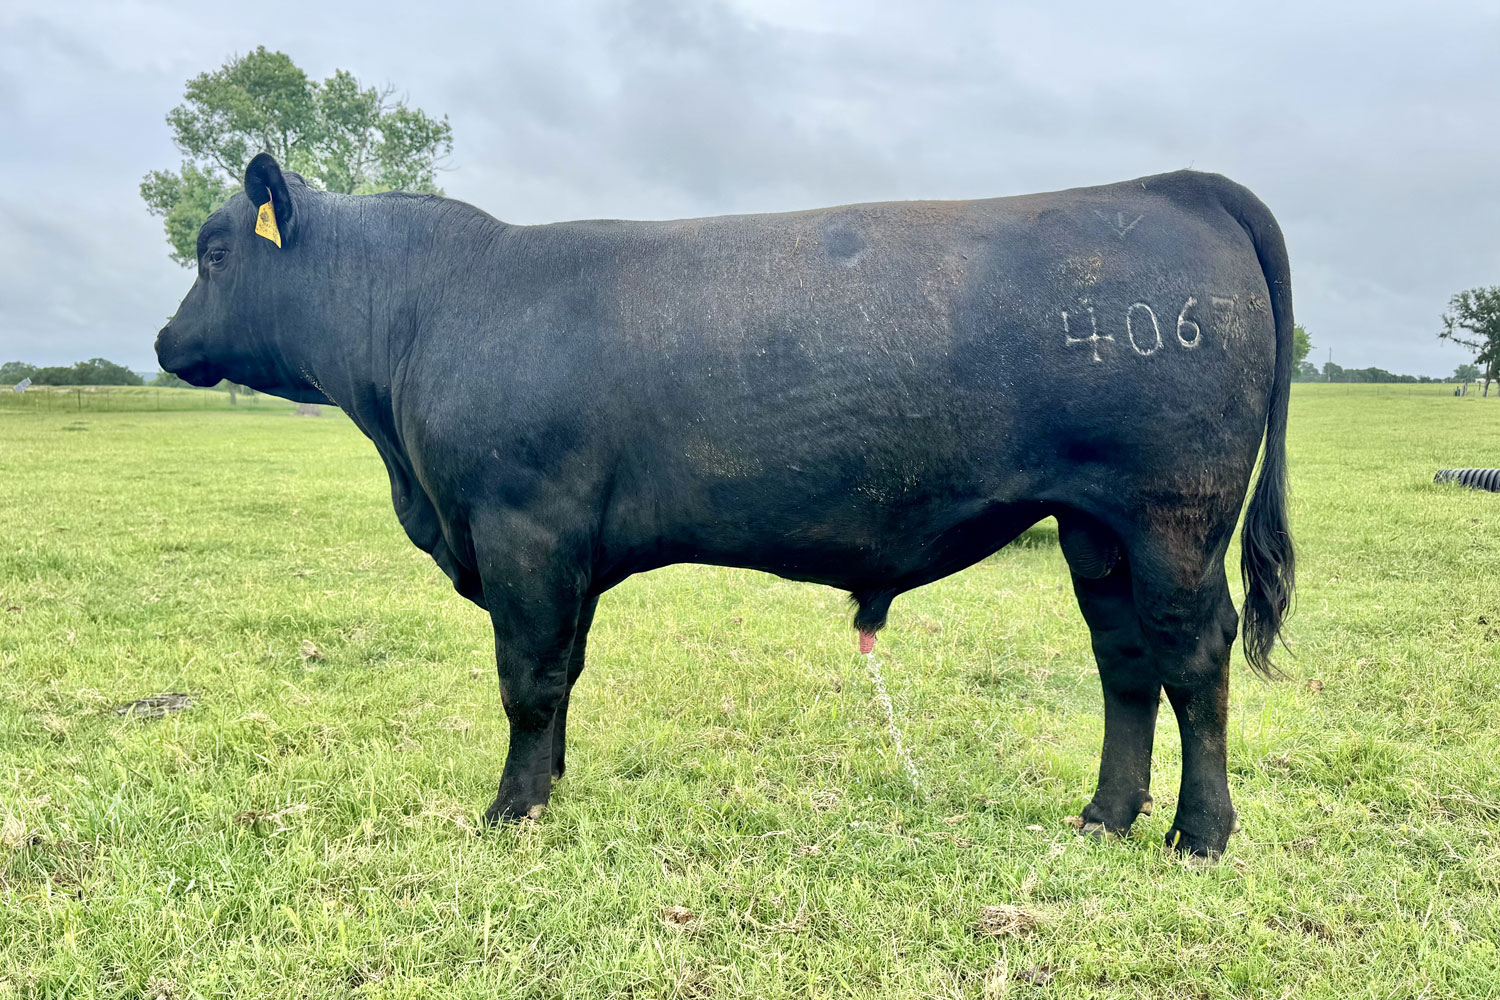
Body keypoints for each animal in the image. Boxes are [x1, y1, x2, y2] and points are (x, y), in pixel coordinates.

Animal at [156, 153, 1293, 858]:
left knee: (1195, 657)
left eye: (216, 253)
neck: (430, 309)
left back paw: (1199, 833)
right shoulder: (567, 549)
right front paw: (552, 788)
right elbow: (563, 674)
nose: (166, 344)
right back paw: (1105, 814)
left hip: (1174, 518)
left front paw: (510, 810)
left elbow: (526, 679)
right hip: (1096, 529)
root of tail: (1172, 186)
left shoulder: (524, 528)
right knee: (1125, 661)